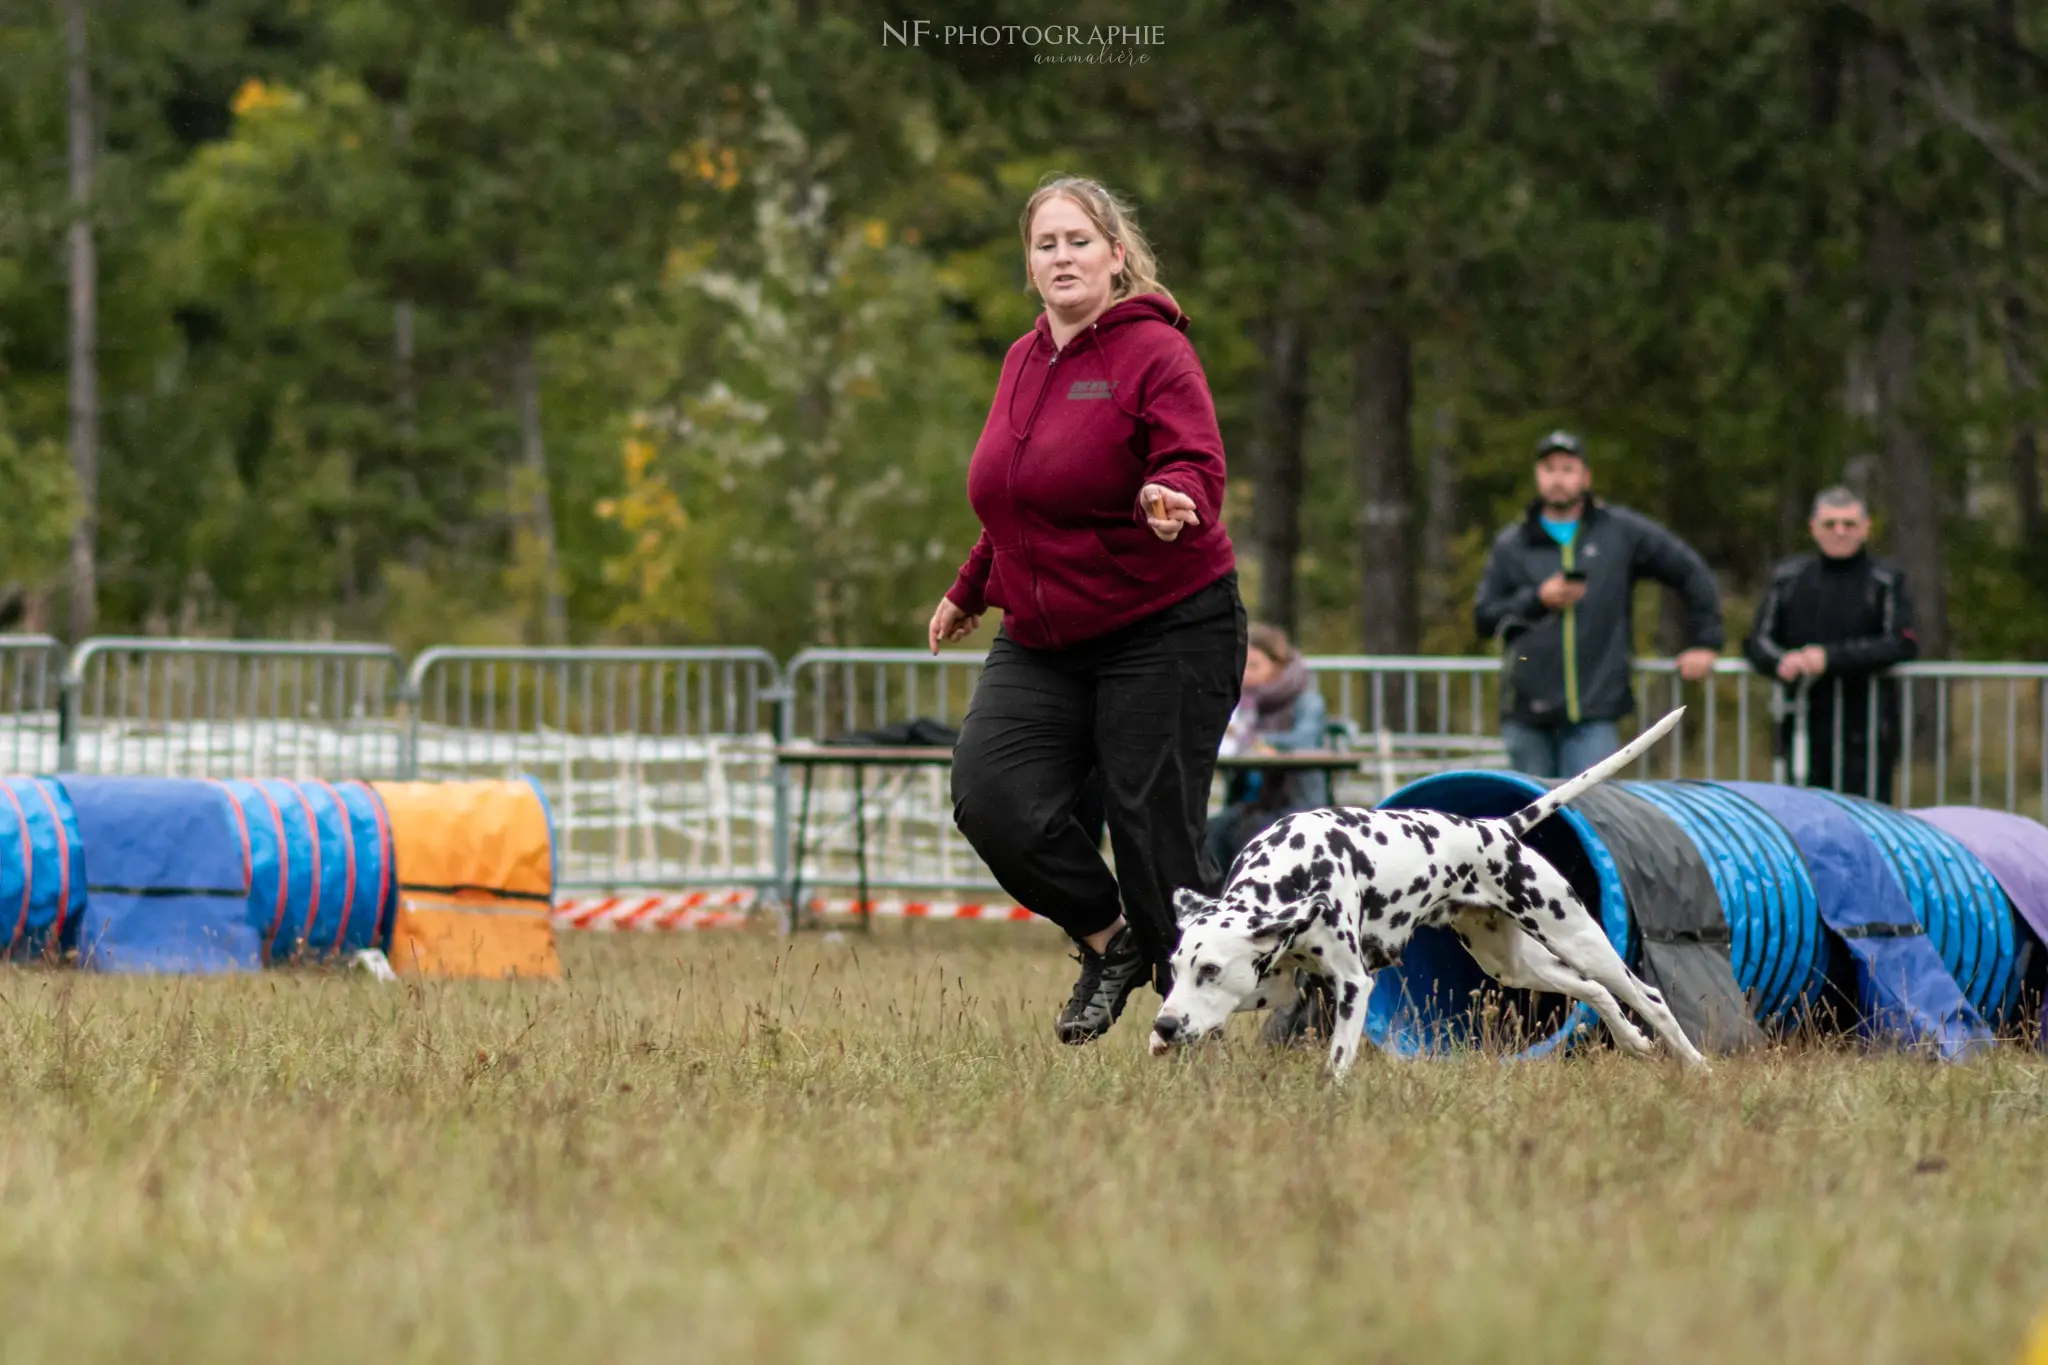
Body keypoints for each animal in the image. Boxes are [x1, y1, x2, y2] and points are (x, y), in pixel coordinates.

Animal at [1155, 712, 1712, 1080]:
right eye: (1176, 968)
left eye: (1210, 969)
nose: (1163, 1024)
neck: (1294, 868)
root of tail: (1498, 829)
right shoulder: (1275, 986)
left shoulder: (1353, 985)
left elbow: (1336, 1062)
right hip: (1512, 965)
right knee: (1593, 991)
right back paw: (1633, 1042)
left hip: (1579, 938)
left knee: (1646, 995)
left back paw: (1696, 1065)